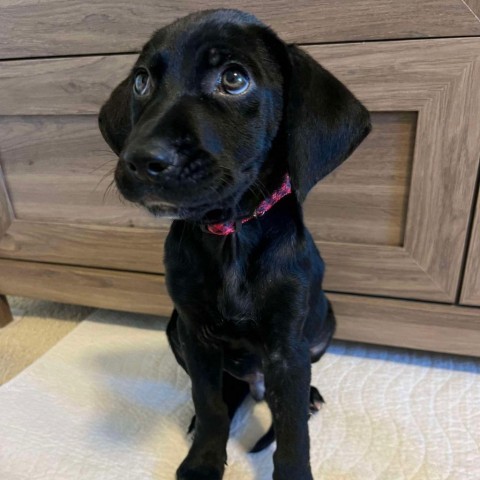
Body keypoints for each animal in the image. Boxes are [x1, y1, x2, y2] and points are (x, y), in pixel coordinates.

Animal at [99, 8, 372, 480]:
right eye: (141, 81)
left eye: (233, 78)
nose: (140, 160)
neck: (231, 235)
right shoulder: (196, 334)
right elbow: (209, 403)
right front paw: (203, 462)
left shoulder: (288, 348)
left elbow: (293, 431)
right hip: (175, 329)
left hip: (323, 323)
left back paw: (310, 396)